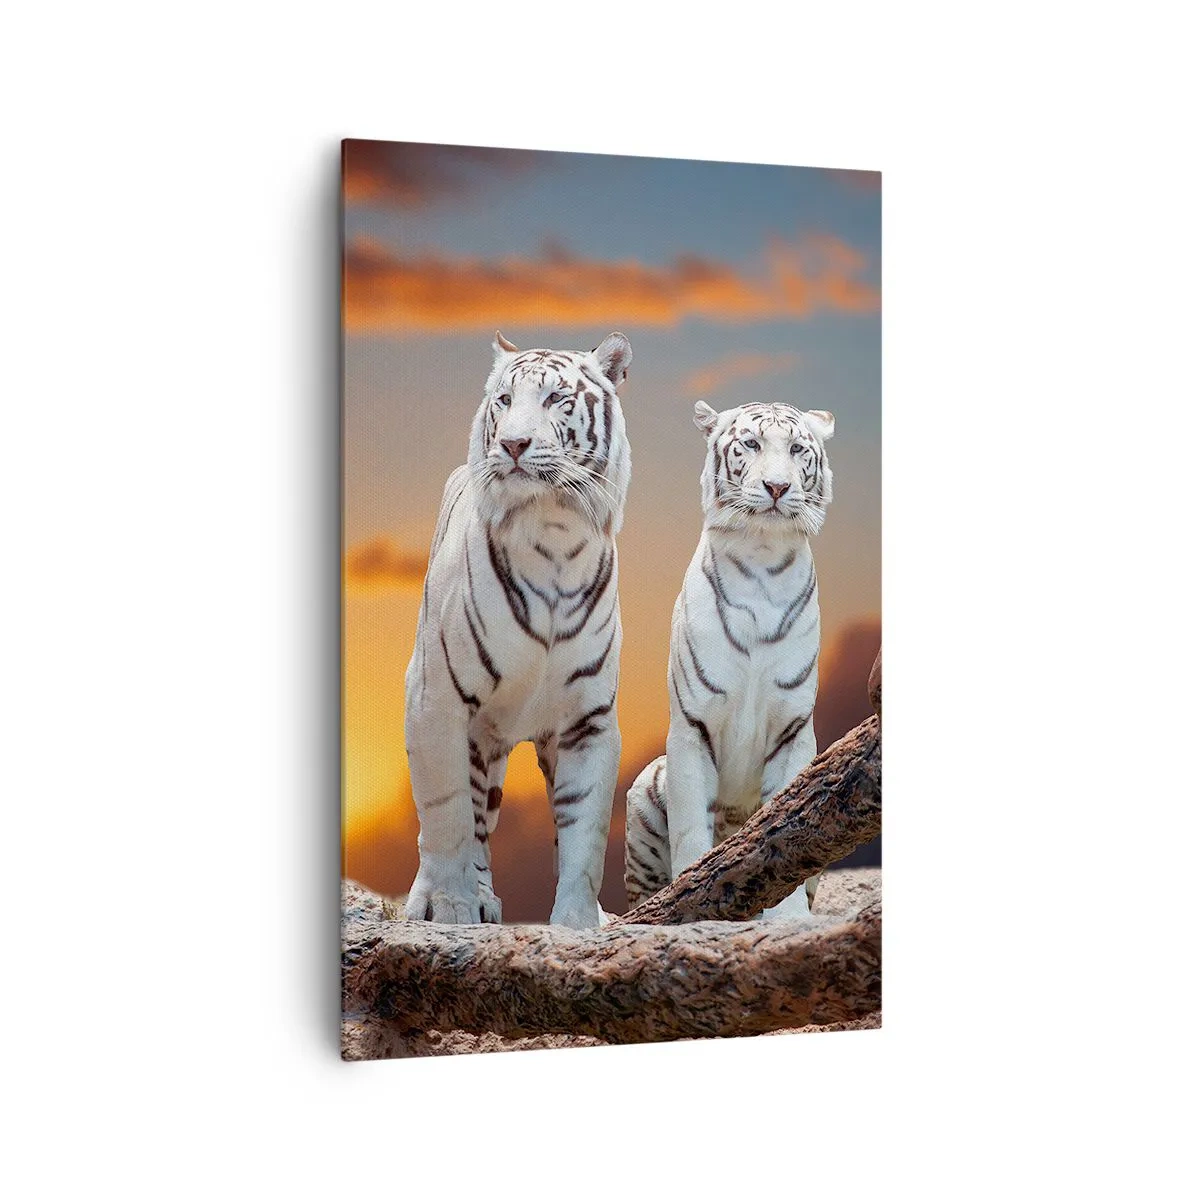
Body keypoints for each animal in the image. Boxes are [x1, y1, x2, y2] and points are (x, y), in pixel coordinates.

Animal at [404, 330, 632, 928]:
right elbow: (447, 817)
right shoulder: (435, 699)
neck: (553, 531)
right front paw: (451, 908)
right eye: (504, 401)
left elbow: (584, 832)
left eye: (557, 399)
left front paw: (579, 923)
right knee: (469, 820)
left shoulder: (588, 720)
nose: (512, 444)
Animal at [624, 398, 834, 917]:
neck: (762, 558)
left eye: (797, 449)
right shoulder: (691, 726)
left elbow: (788, 824)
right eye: (751, 444)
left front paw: (789, 918)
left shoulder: (794, 729)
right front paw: (689, 897)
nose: (777, 486)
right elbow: (690, 830)